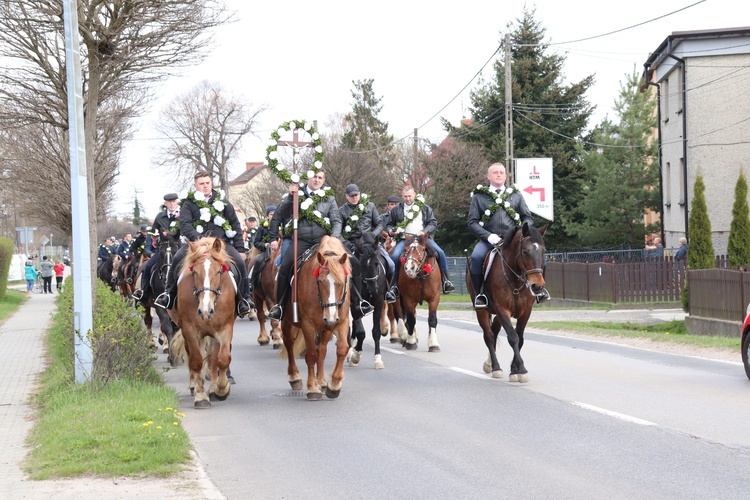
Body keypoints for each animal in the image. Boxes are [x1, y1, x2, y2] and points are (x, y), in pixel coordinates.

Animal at [169, 236, 236, 408]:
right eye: (195, 272)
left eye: (218, 271)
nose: (206, 311)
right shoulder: (189, 330)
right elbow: (196, 360)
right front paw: (200, 396)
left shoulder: (225, 328)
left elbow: (222, 359)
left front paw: (221, 389)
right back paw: (194, 385)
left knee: (213, 358)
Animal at [282, 236, 352, 400]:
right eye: (320, 281)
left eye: (341, 282)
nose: (330, 317)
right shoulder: (308, 325)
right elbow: (311, 355)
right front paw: (312, 388)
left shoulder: (342, 322)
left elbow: (342, 348)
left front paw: (334, 385)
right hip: (287, 321)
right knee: (289, 344)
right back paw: (295, 377)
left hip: (326, 328)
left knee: (322, 349)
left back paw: (321, 381)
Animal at [350, 232, 390, 370]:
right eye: (362, 265)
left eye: (377, 263)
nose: (373, 289)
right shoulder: (355, 304)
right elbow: (361, 332)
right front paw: (355, 355)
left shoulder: (378, 303)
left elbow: (376, 332)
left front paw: (378, 359)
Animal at [468, 223, 548, 382]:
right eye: (525, 251)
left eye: (543, 251)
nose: (538, 286)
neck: (515, 278)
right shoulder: (502, 309)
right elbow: (513, 337)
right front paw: (521, 370)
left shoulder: (526, 311)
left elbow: (520, 338)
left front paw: (514, 369)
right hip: (482, 310)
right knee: (489, 336)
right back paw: (495, 367)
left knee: (494, 332)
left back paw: (489, 363)